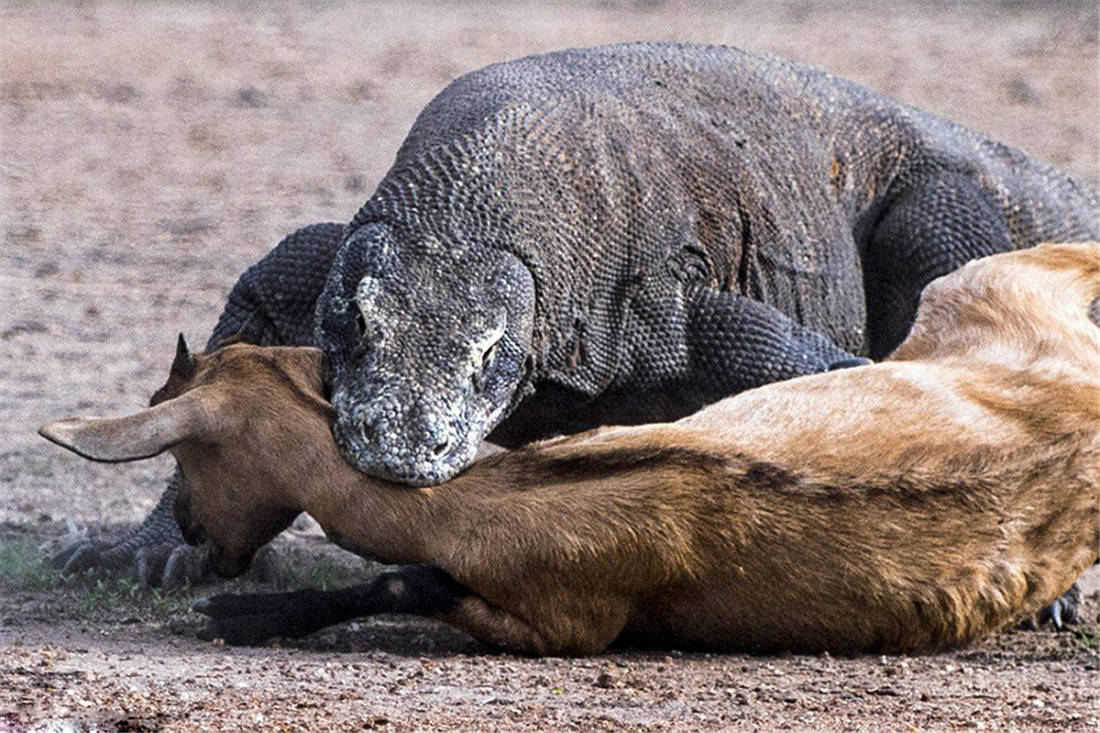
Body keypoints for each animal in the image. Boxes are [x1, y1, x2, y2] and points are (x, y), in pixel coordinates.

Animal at [40, 242, 1100, 651]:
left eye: (186, 453)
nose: (190, 532)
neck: (509, 498)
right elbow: (410, 577)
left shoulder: (567, 622)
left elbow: (406, 581)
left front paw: (236, 618)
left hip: (977, 281)